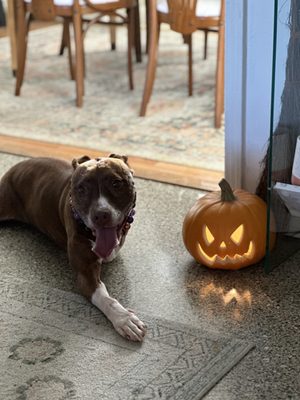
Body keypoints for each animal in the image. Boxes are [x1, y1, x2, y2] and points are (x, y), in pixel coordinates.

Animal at [0, 155, 146, 342]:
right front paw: (124, 319)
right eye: (81, 189)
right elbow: (106, 298)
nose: (101, 215)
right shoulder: (85, 275)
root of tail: (15, 167)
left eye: (116, 183)